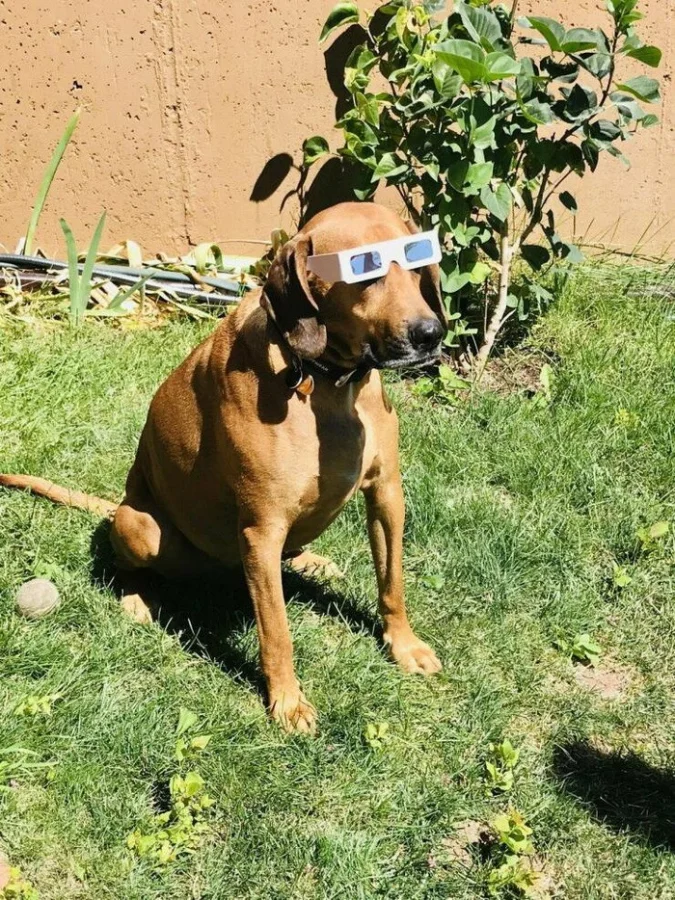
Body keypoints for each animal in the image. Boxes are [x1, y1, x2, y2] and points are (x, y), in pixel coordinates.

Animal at [0, 202, 446, 733]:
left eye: (418, 259)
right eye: (365, 270)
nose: (431, 333)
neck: (324, 382)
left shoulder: (386, 494)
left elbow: (392, 581)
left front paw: (404, 645)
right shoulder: (261, 528)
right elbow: (277, 630)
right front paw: (287, 701)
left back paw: (311, 560)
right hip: (141, 525)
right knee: (128, 563)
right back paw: (136, 598)